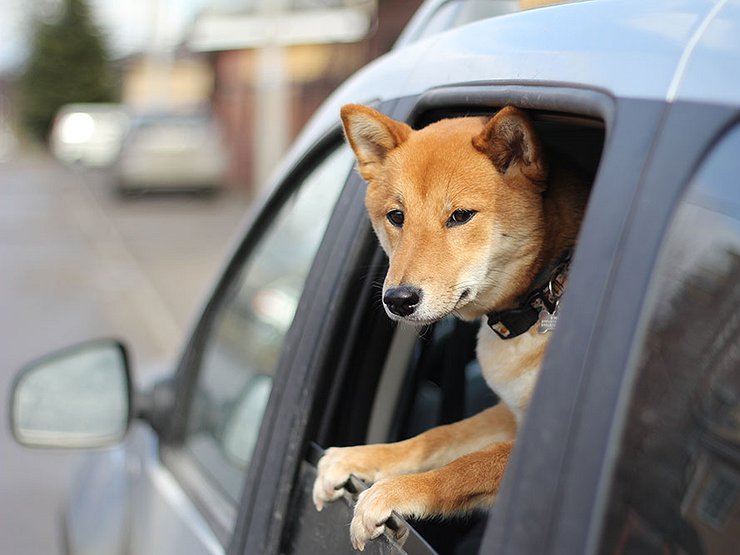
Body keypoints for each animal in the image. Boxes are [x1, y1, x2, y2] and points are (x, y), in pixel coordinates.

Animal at [310, 104, 588, 552]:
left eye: (460, 216)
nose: (398, 299)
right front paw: (363, 458)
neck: (544, 291)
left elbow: (467, 467)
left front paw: (397, 491)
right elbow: (440, 436)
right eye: (396, 217)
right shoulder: (510, 413)